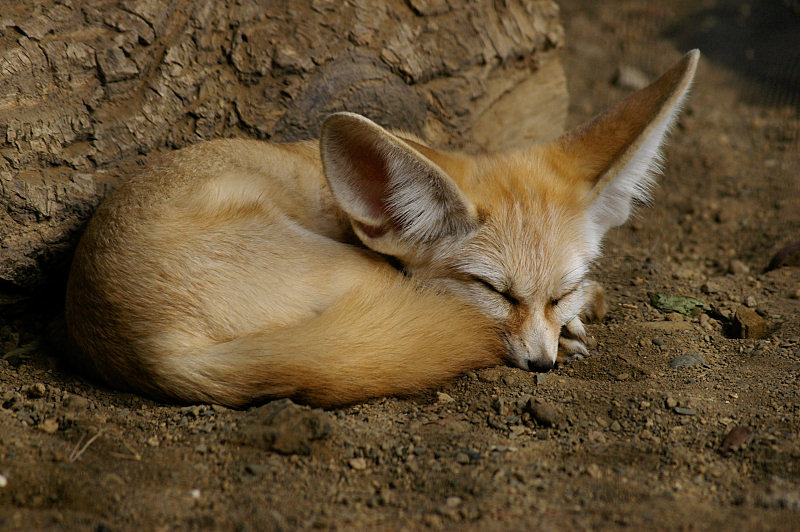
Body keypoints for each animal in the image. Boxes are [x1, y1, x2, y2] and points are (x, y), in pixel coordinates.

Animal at [65, 51, 696, 408]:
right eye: (493, 291)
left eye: (559, 291)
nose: (542, 366)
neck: (341, 205)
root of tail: (151, 348)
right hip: (361, 277)